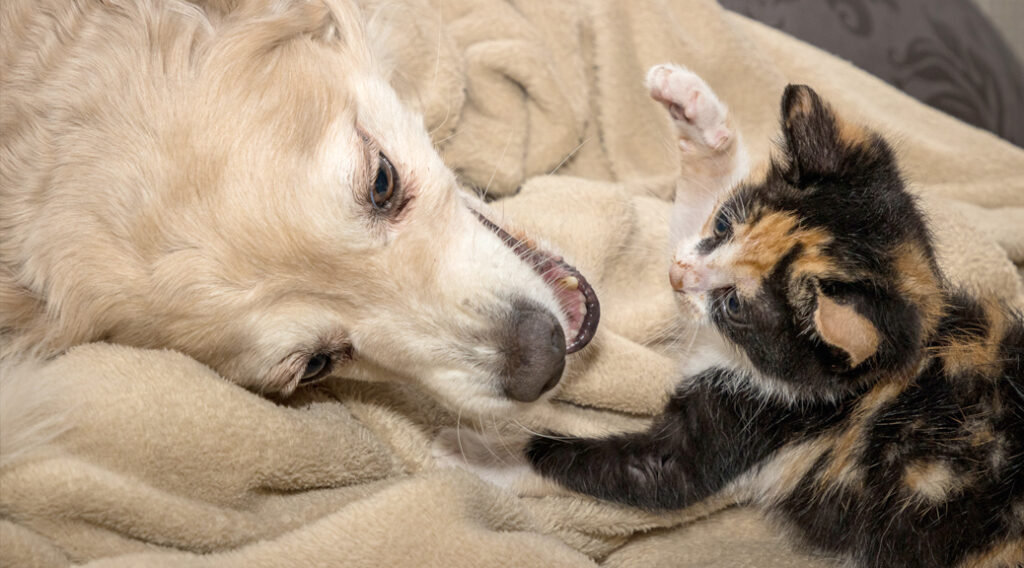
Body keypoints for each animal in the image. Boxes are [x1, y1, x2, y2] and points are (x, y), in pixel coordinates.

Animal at [524, 67, 1019, 568]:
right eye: (723, 225)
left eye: (735, 306)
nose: (676, 277)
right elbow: (690, 219)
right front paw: (693, 108)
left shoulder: (756, 419)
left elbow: (656, 474)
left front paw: (512, 452)